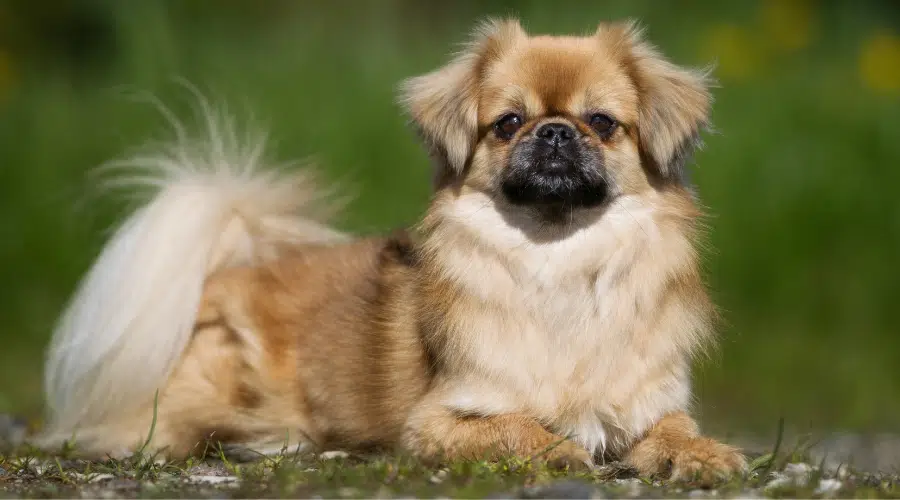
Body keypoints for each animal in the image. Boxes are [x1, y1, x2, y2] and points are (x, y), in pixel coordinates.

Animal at [38, 17, 744, 482]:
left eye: (600, 123)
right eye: (508, 123)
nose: (553, 133)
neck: (559, 258)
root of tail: (226, 273)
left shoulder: (651, 402)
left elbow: (677, 430)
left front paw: (705, 455)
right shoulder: (438, 420)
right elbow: (514, 425)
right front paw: (556, 448)